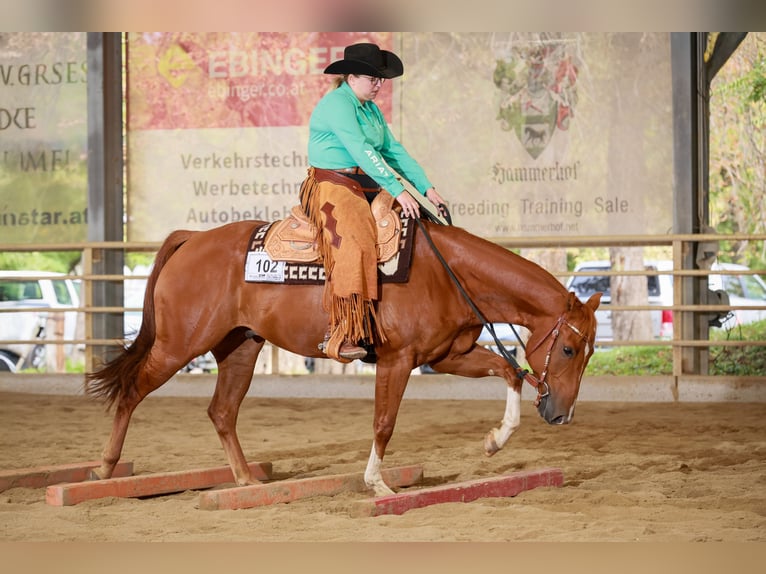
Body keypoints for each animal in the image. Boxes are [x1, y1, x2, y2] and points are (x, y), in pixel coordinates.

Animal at [85, 217, 601, 496]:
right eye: (569, 347)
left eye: (590, 352)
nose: (561, 414)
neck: (446, 273)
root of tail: (192, 239)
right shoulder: (397, 360)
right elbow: (384, 422)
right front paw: (377, 482)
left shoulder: (448, 356)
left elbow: (509, 371)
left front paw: (496, 440)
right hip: (178, 345)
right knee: (132, 391)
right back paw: (105, 469)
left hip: (240, 347)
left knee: (222, 411)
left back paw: (247, 480)